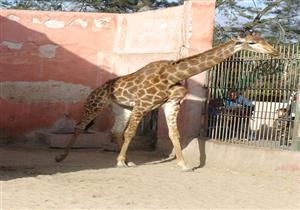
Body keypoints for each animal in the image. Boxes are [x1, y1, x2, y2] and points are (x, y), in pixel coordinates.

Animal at [54, 32, 278, 171]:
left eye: (263, 39)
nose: (274, 51)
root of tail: (98, 88)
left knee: (116, 131)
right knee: (80, 126)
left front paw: (184, 165)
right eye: (252, 43)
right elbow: (131, 133)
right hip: (97, 103)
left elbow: (174, 134)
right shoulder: (143, 104)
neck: (172, 75)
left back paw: (128, 160)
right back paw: (61, 157)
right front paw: (118, 163)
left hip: (122, 108)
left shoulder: (172, 104)